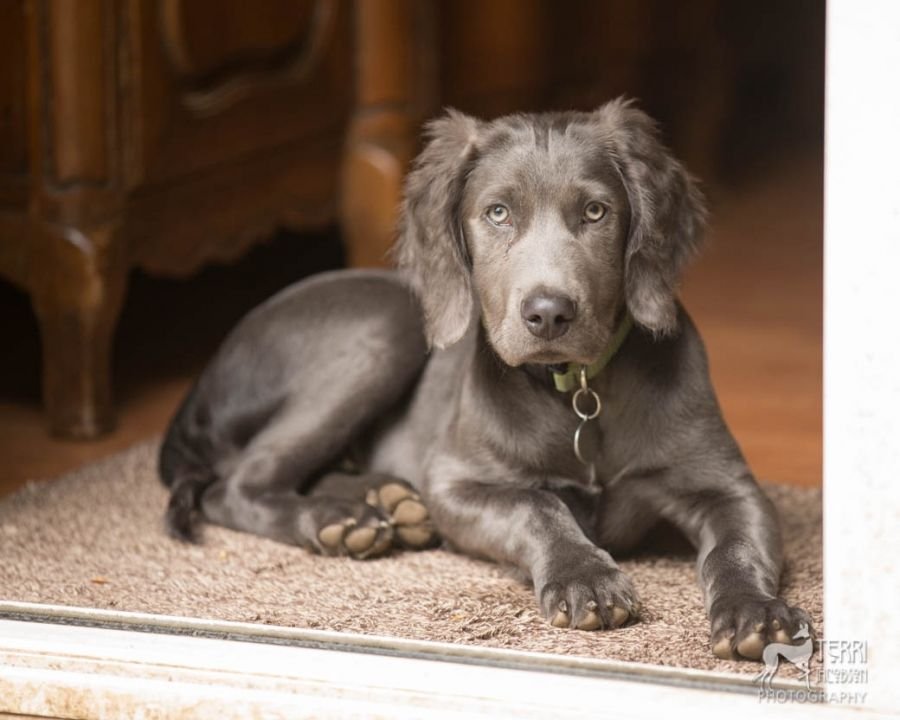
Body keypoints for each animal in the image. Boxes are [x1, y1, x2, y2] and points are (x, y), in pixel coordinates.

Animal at [158, 98, 812, 660]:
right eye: (498, 212)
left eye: (595, 211)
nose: (548, 313)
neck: (576, 390)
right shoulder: (458, 483)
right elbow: (536, 503)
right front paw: (585, 577)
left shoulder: (728, 485)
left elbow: (736, 546)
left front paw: (756, 614)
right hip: (388, 326)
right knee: (235, 485)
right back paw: (338, 522)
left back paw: (386, 500)